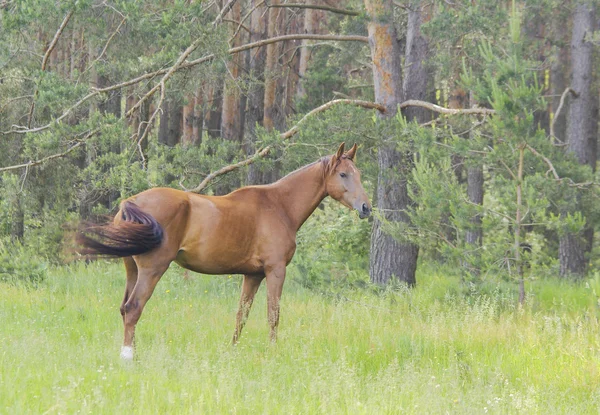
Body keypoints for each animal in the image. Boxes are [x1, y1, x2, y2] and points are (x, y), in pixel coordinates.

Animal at [79, 143, 370, 360]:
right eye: (343, 174)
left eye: (357, 173)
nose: (366, 207)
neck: (279, 206)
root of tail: (132, 202)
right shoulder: (275, 271)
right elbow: (273, 315)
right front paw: (273, 352)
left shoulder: (253, 276)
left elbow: (242, 315)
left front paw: (233, 351)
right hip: (152, 269)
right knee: (134, 308)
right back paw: (128, 357)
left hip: (132, 269)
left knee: (124, 309)